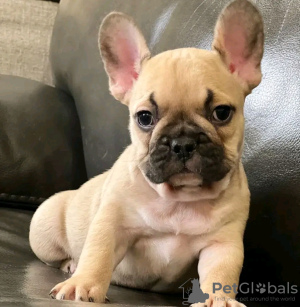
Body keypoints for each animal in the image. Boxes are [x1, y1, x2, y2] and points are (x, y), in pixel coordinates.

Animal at [29, 1, 264, 306]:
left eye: (221, 113)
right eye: (144, 117)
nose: (182, 142)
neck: (180, 200)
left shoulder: (222, 243)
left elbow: (221, 273)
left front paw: (220, 299)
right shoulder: (111, 224)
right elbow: (98, 254)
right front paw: (83, 283)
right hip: (44, 231)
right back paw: (71, 265)